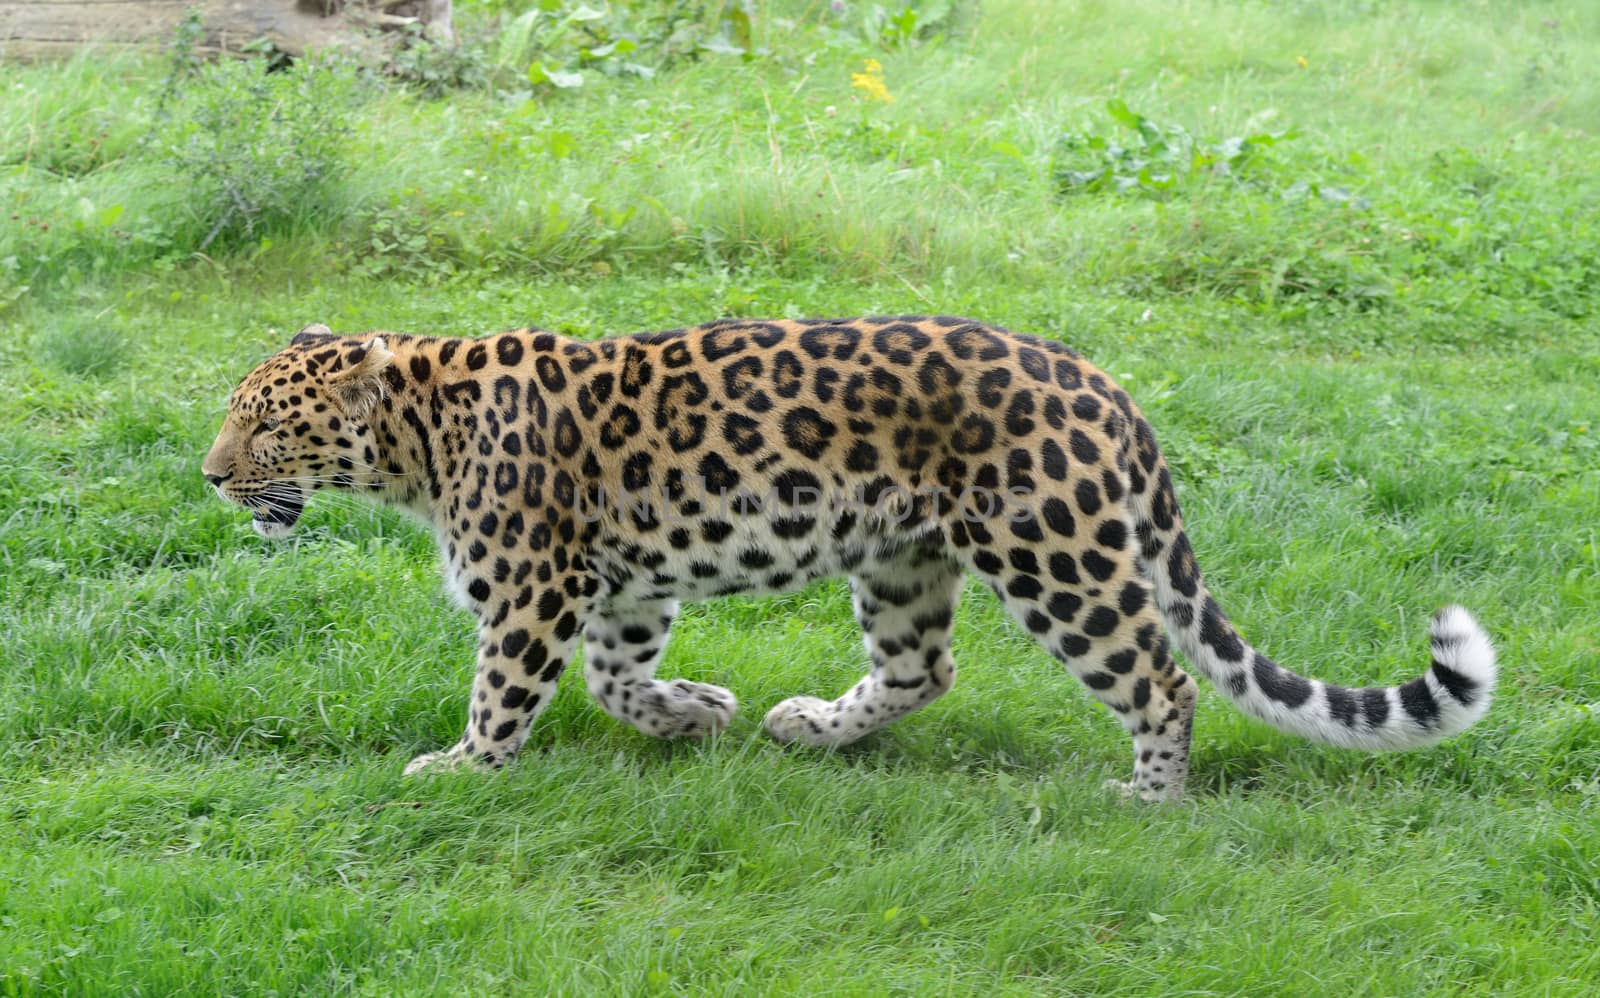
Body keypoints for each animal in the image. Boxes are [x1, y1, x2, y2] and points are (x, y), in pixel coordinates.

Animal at [203, 315, 1497, 799]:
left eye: (265, 424)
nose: (212, 475)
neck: (416, 442)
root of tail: (1105, 382)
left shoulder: (534, 585)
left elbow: (508, 685)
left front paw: (463, 766)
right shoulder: (616, 582)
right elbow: (615, 676)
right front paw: (696, 711)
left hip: (1055, 554)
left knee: (1161, 678)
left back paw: (1148, 793)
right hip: (904, 556)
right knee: (926, 668)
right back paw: (809, 725)